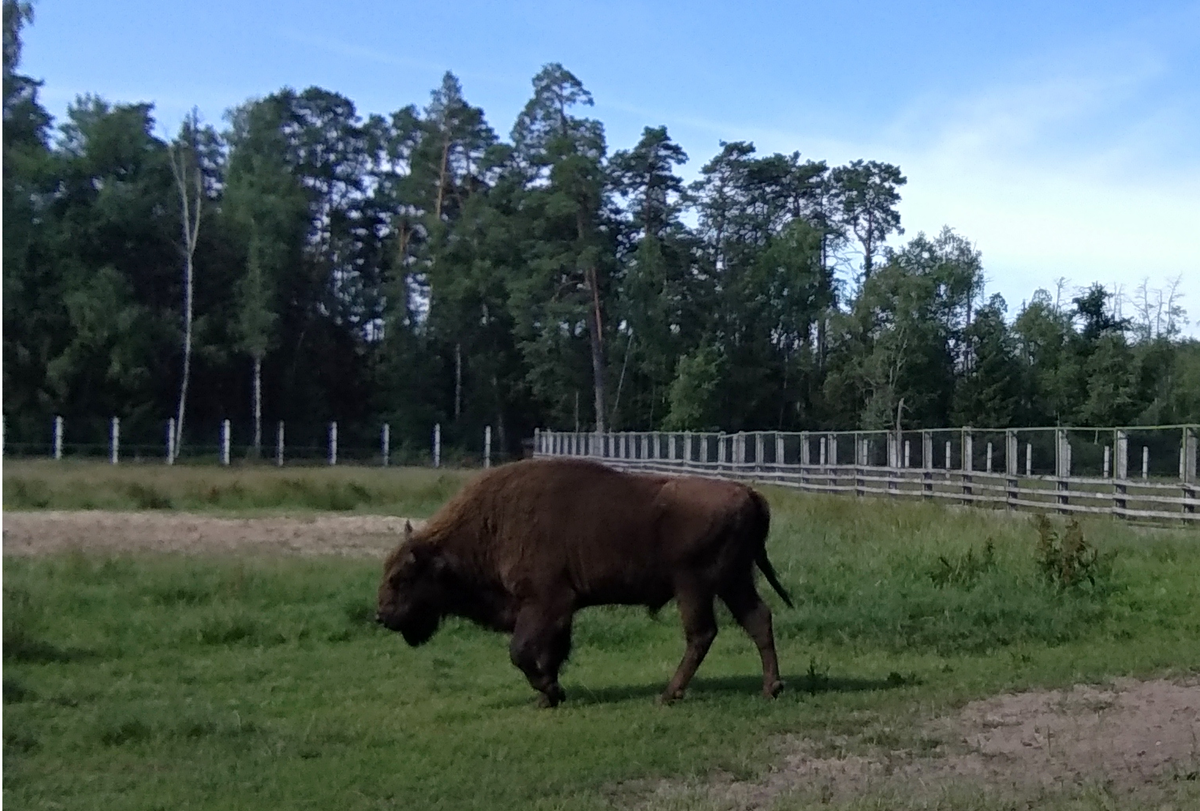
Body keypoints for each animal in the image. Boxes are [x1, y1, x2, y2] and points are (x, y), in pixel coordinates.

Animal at [369, 458, 792, 705]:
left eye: (401, 577)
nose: (381, 616)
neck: (490, 525)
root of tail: (749, 493)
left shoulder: (544, 603)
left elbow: (521, 651)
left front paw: (551, 691)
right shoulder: (560, 609)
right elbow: (551, 651)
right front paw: (550, 696)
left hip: (694, 586)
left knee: (702, 634)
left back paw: (668, 694)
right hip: (734, 582)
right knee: (758, 619)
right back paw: (770, 687)